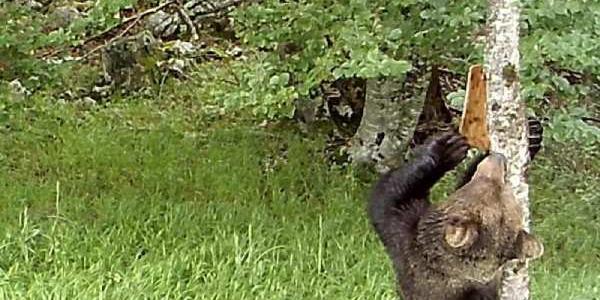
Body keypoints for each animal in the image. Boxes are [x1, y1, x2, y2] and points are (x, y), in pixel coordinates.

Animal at [370, 125, 544, 298]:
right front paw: (534, 134)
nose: (498, 157)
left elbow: (390, 190)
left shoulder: (404, 232)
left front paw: (446, 149)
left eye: (497, 185)